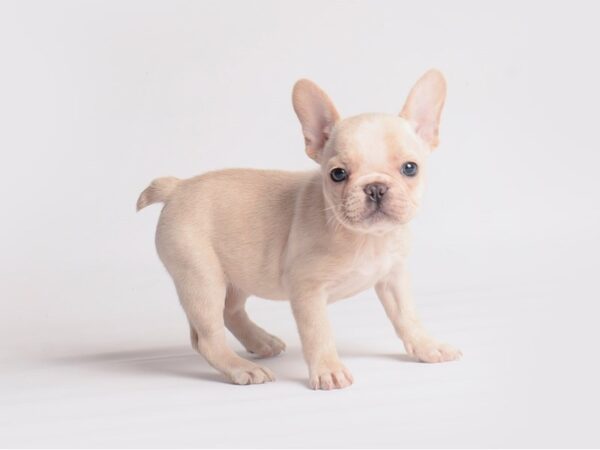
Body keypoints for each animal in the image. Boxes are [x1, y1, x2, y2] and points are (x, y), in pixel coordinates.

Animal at [138, 68, 462, 388]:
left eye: (410, 168)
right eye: (338, 174)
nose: (375, 188)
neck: (367, 238)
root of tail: (177, 187)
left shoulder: (393, 277)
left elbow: (407, 316)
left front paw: (427, 346)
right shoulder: (308, 290)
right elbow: (318, 333)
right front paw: (329, 370)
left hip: (238, 274)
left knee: (231, 311)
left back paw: (261, 341)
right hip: (201, 278)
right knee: (207, 337)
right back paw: (242, 368)